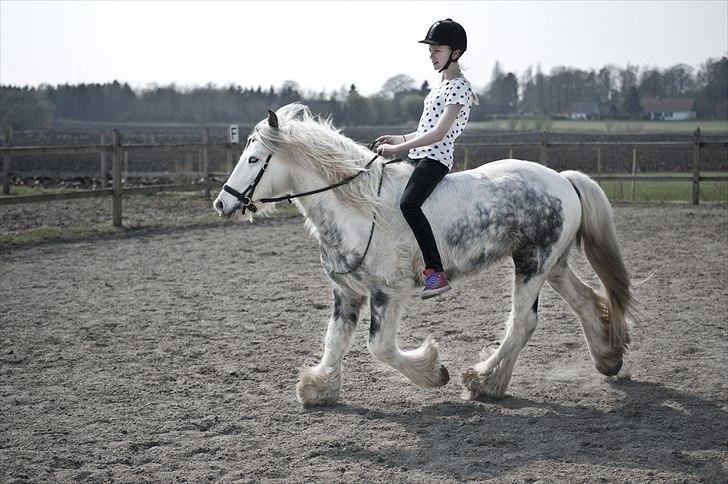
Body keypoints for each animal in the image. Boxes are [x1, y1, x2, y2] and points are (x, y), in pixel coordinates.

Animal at [213, 104, 636, 406]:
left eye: (254, 160)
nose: (222, 204)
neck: (358, 208)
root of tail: (561, 178)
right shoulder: (346, 292)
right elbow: (335, 339)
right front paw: (320, 388)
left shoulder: (388, 290)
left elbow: (380, 346)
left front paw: (433, 373)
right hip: (553, 264)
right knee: (585, 300)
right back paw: (608, 359)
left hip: (533, 263)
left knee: (523, 322)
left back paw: (483, 381)